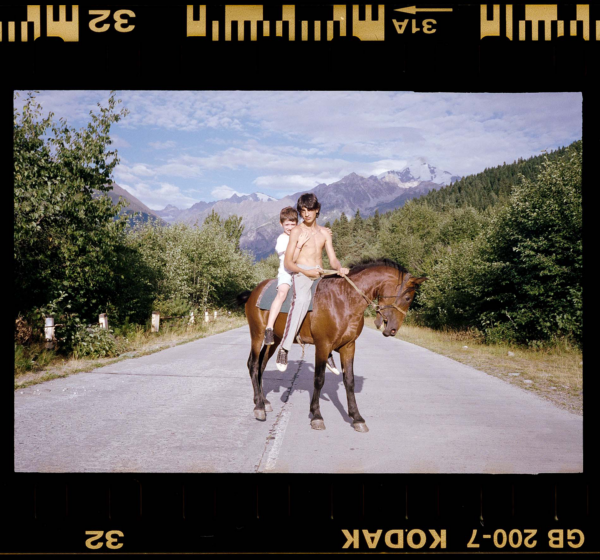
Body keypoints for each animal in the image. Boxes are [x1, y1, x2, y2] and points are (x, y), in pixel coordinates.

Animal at [238, 260, 426, 434]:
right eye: (408, 298)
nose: (393, 330)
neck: (344, 299)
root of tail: (254, 292)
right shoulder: (323, 345)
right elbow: (319, 379)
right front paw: (316, 415)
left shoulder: (349, 346)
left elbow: (349, 380)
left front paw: (357, 417)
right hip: (258, 335)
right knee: (253, 365)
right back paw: (259, 407)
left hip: (274, 340)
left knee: (261, 365)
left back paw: (263, 401)